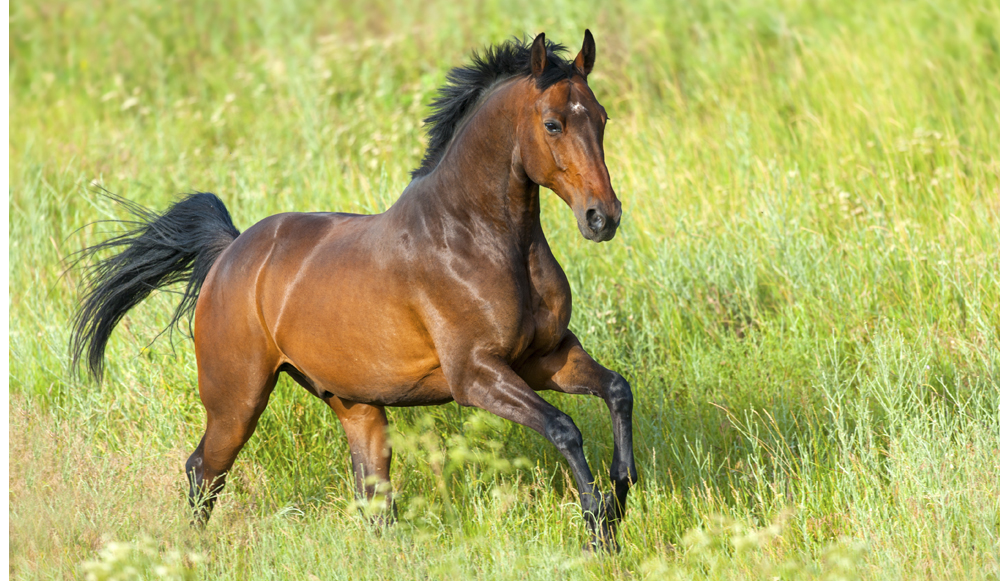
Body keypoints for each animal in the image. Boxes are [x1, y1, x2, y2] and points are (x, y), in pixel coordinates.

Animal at [70, 31, 636, 548]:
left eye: (602, 118)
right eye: (553, 124)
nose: (602, 218)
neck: (478, 238)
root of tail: (229, 252)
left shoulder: (545, 357)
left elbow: (617, 389)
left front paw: (622, 491)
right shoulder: (477, 375)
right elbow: (564, 427)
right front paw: (599, 529)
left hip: (354, 405)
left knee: (372, 496)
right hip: (236, 401)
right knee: (203, 470)